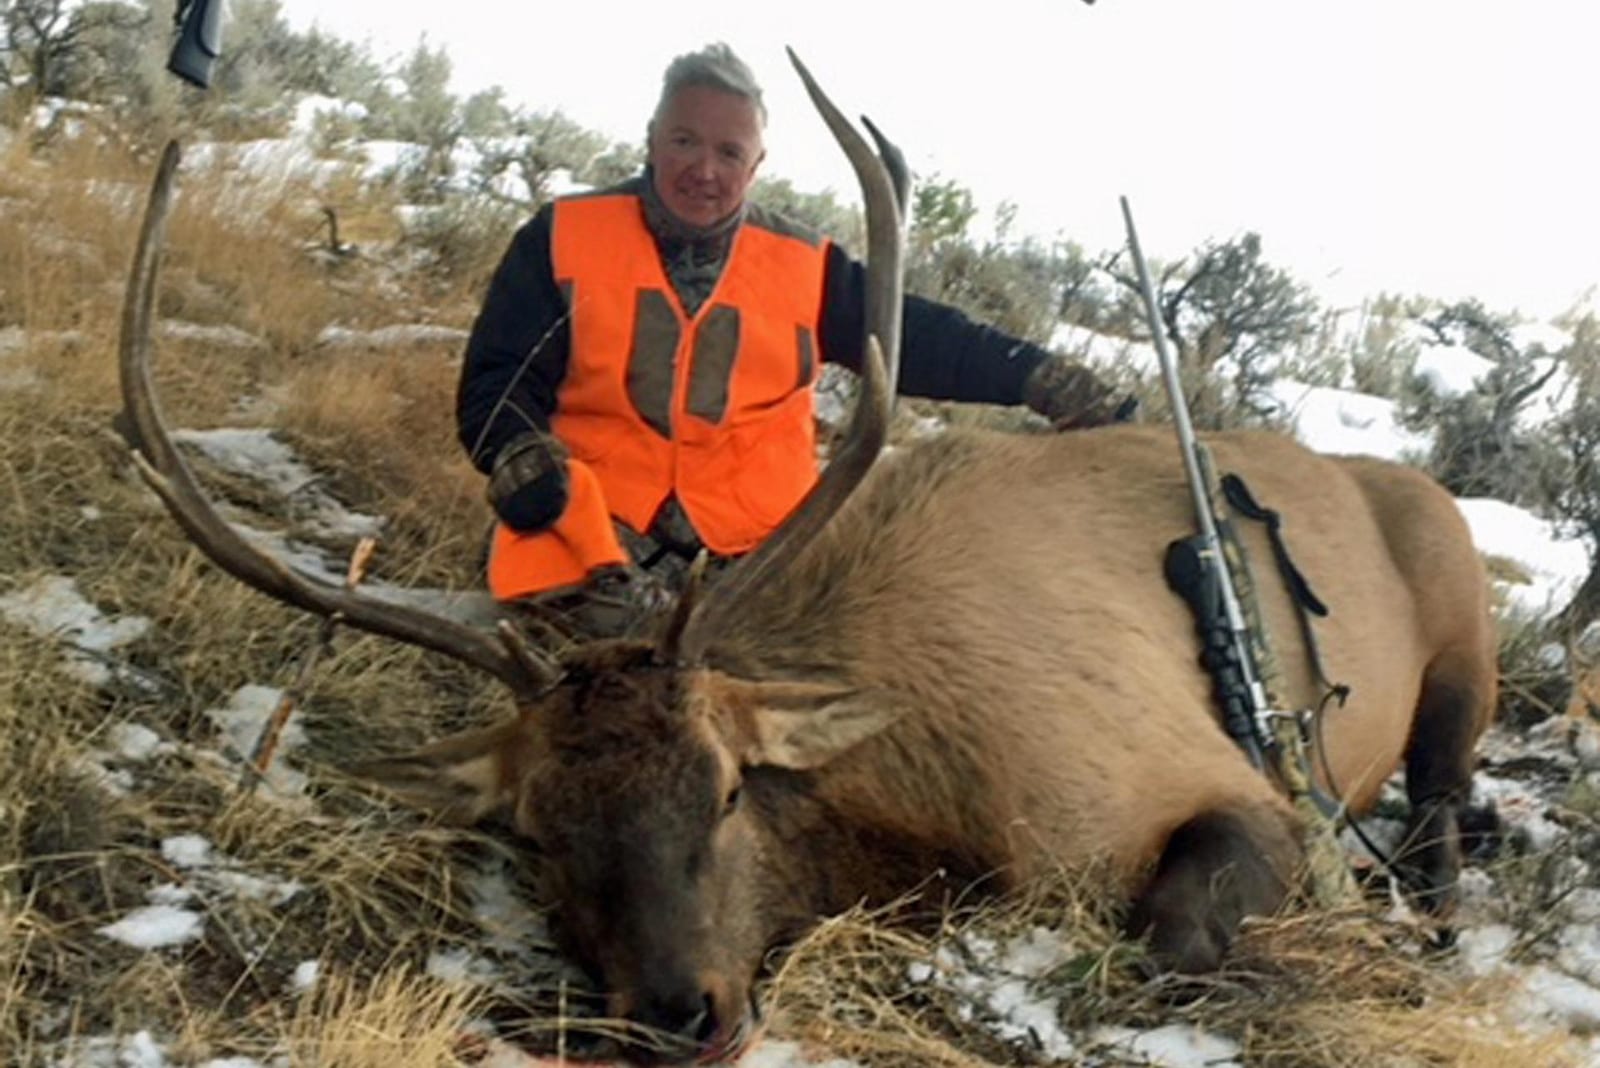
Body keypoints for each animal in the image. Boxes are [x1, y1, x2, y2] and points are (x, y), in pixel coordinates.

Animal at [116, 53, 1496, 1067]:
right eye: (540, 833)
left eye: (729, 789)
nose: (678, 1017)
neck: (923, 794)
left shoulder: (1215, 786)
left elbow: (1171, 933)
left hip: (1461, 617)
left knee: (1437, 793)